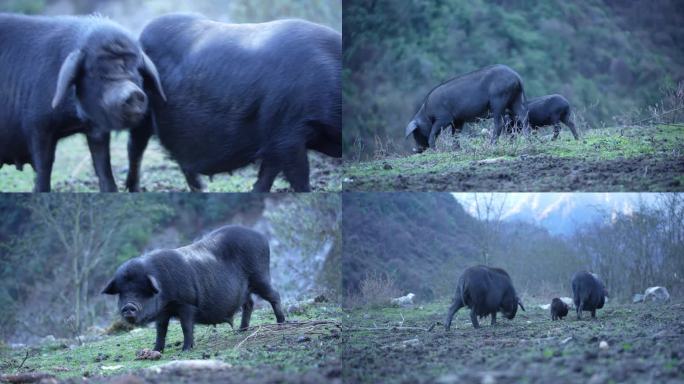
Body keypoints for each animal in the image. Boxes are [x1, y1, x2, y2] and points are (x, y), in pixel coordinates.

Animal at [0, 14, 165, 191]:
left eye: (135, 70)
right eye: (96, 72)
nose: (133, 93)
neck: (74, 118)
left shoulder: (96, 129)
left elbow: (102, 164)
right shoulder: (37, 124)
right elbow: (44, 165)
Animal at [100, 225, 284, 352]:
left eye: (141, 291)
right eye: (122, 293)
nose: (128, 307)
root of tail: (261, 237)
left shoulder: (186, 303)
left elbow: (186, 326)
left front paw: (186, 349)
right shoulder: (163, 312)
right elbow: (161, 331)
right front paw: (156, 350)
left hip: (259, 276)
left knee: (274, 295)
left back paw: (281, 323)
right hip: (245, 288)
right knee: (249, 303)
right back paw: (240, 331)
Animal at [124, 14, 340, 192]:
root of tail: (140, 37)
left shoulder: (275, 143)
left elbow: (265, 178)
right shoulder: (288, 132)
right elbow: (299, 178)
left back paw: (202, 190)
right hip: (141, 112)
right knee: (135, 148)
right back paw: (134, 189)